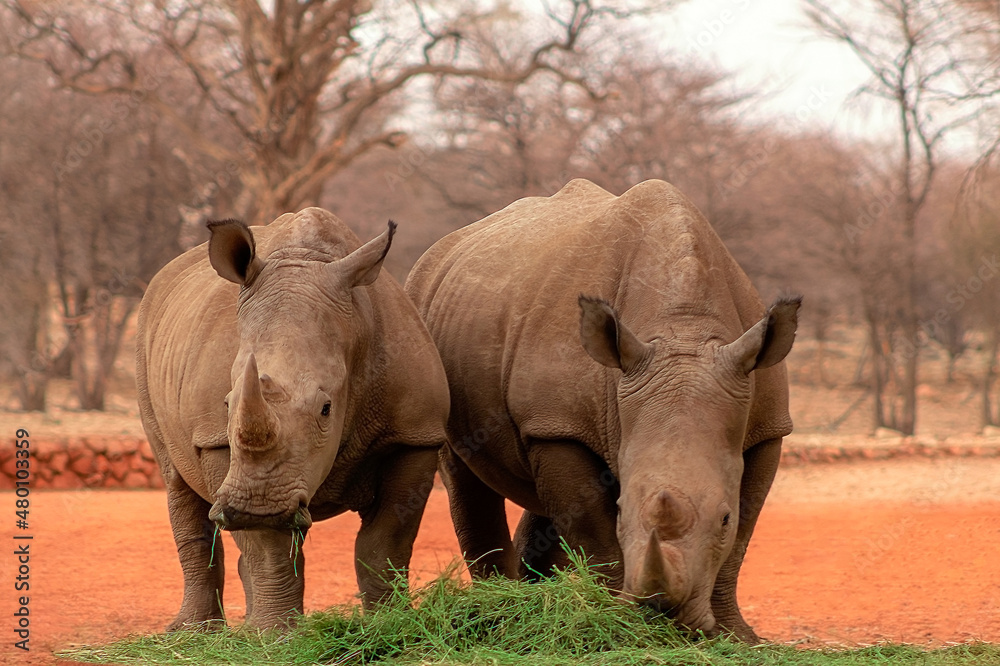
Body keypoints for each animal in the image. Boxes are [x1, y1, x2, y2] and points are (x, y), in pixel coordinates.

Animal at [136, 208, 449, 630]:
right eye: (226, 403)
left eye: (326, 408)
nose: (254, 506)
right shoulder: (215, 439)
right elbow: (268, 547)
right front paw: (275, 635)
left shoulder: (414, 434)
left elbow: (386, 540)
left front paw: (389, 624)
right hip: (144, 342)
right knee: (177, 481)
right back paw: (192, 634)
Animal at [404, 179, 799, 642]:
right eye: (623, 510)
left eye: (722, 518)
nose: (663, 613)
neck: (684, 328)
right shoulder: (559, 424)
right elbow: (596, 532)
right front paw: (617, 626)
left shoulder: (768, 426)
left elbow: (742, 534)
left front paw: (736, 639)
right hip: (427, 317)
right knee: (465, 473)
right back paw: (500, 613)